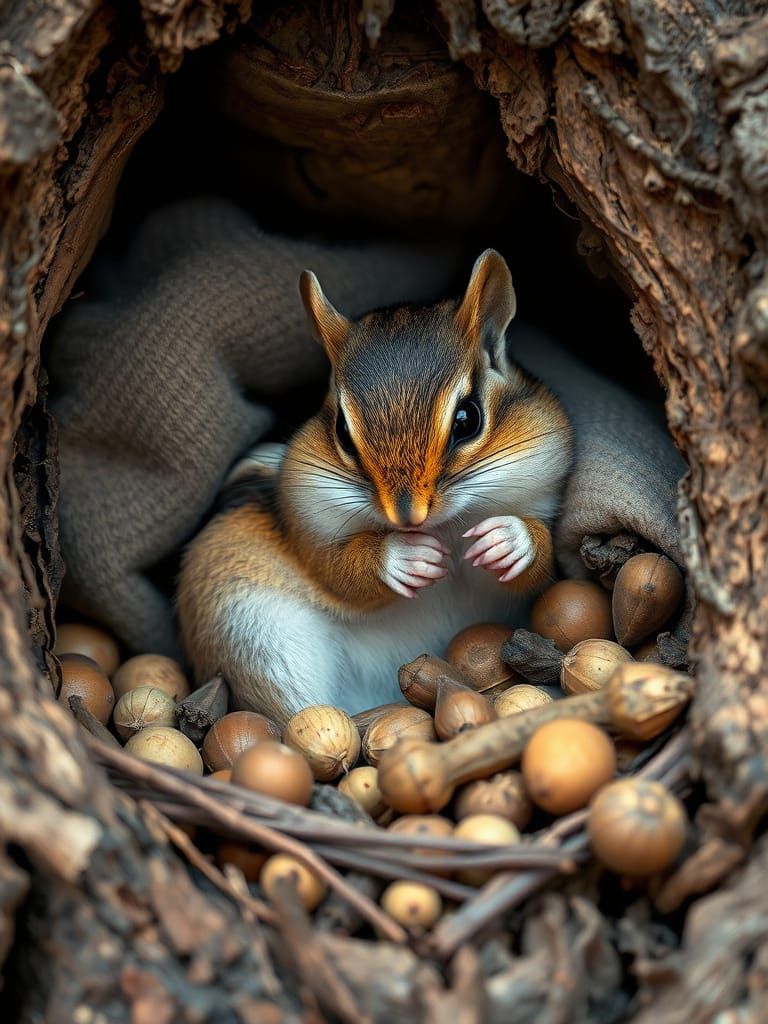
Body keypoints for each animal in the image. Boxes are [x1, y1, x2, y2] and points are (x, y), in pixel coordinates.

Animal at [177, 250, 573, 726]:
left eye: (467, 418)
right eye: (343, 433)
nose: (408, 517)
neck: (445, 528)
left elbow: (538, 571)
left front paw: (510, 540)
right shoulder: (303, 520)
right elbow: (337, 572)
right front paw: (401, 556)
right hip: (257, 634)